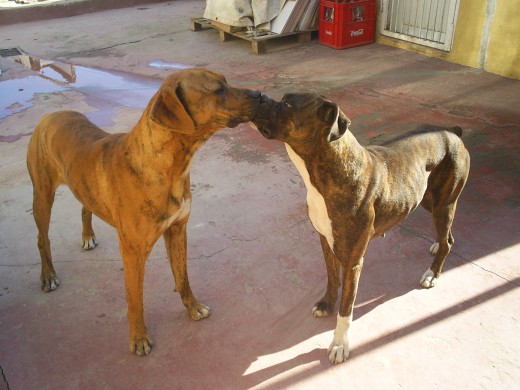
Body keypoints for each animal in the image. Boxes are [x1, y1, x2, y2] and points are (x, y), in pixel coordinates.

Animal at [25, 68, 260, 356]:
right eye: (218, 90)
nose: (259, 94)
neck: (167, 166)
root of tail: (49, 115)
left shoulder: (177, 230)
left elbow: (183, 277)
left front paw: (192, 307)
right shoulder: (133, 252)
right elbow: (135, 299)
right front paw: (138, 338)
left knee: (85, 208)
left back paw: (87, 236)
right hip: (42, 195)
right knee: (42, 238)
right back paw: (48, 275)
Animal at [252, 93, 472, 364]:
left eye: (288, 105)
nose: (260, 97)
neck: (325, 171)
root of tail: (452, 132)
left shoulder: (353, 261)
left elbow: (346, 308)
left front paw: (339, 343)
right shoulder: (325, 240)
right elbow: (332, 278)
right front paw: (326, 304)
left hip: (444, 203)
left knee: (448, 240)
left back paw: (432, 273)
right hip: (429, 200)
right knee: (447, 235)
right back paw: (435, 245)